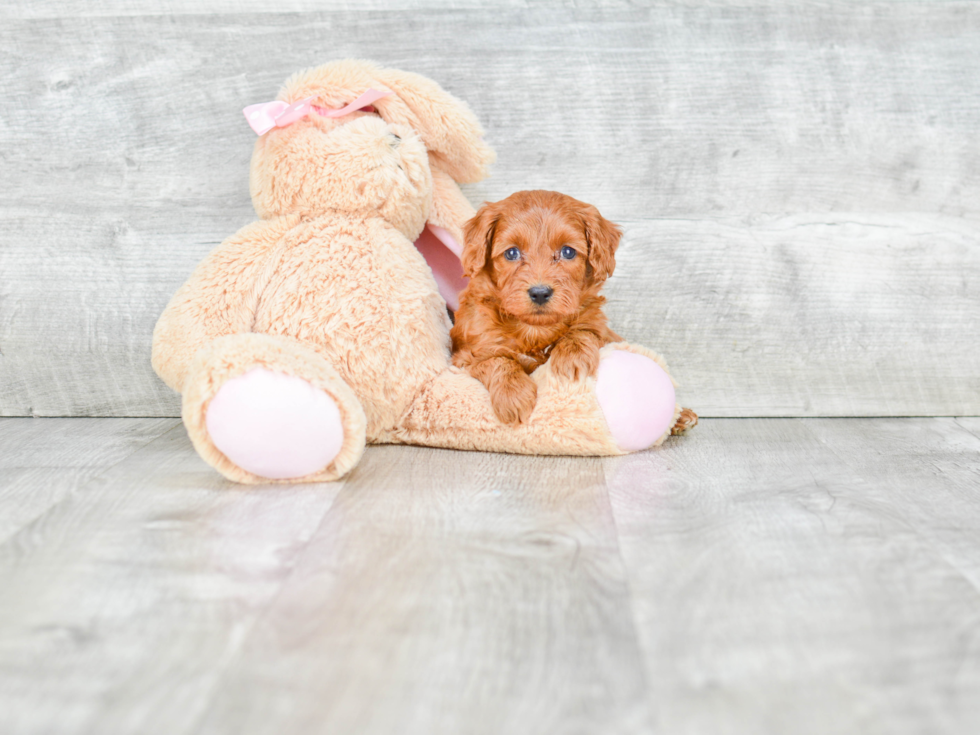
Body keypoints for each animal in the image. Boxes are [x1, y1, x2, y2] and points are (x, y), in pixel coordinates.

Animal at [450, 191, 620, 426]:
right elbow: (497, 360)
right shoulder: (466, 357)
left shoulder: (606, 332)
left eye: (568, 252)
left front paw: (572, 358)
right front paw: (512, 395)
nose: (540, 293)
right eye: (512, 253)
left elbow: (585, 330)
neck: (535, 329)